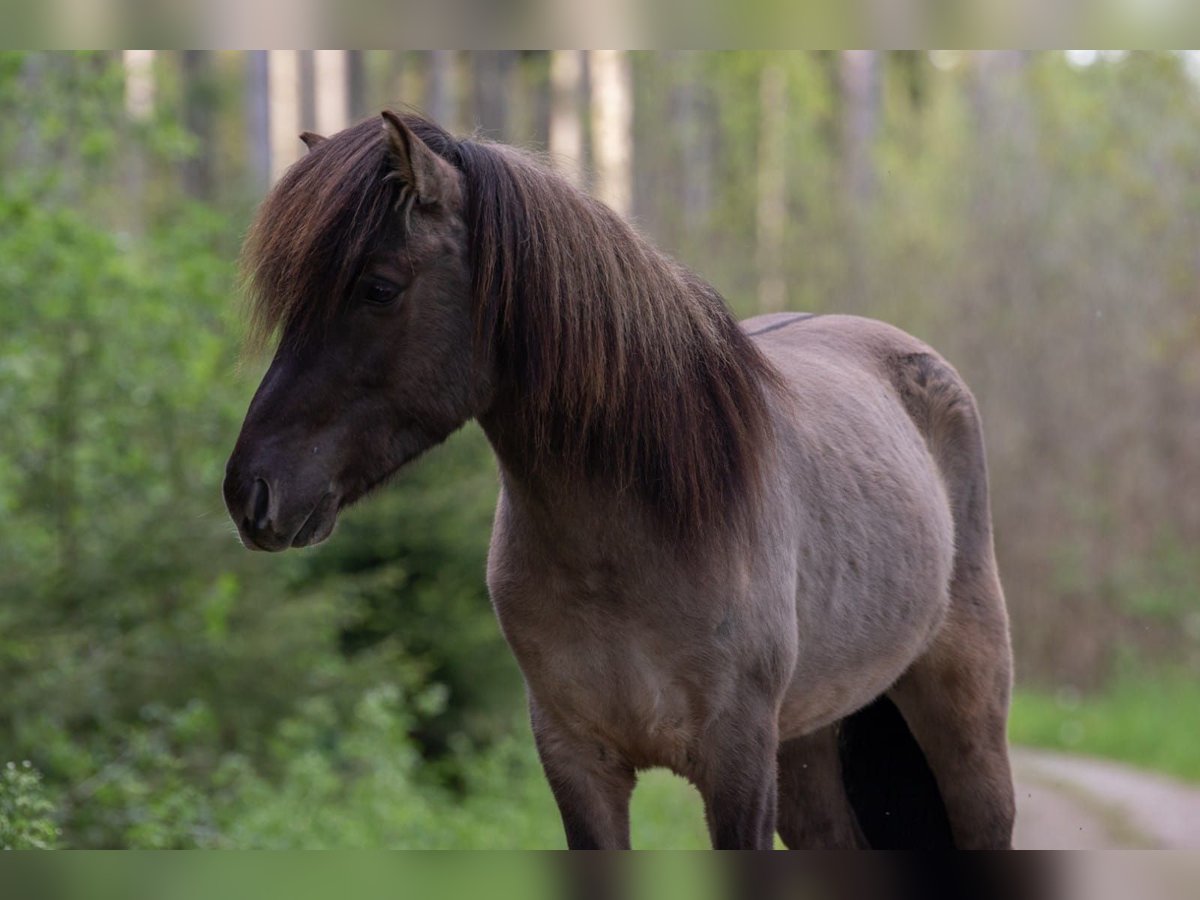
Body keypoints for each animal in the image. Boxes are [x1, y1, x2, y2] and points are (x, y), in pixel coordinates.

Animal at [223, 109, 1012, 849]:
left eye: (380, 288)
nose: (249, 492)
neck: (635, 535)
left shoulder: (739, 768)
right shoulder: (577, 761)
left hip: (965, 731)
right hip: (808, 747)